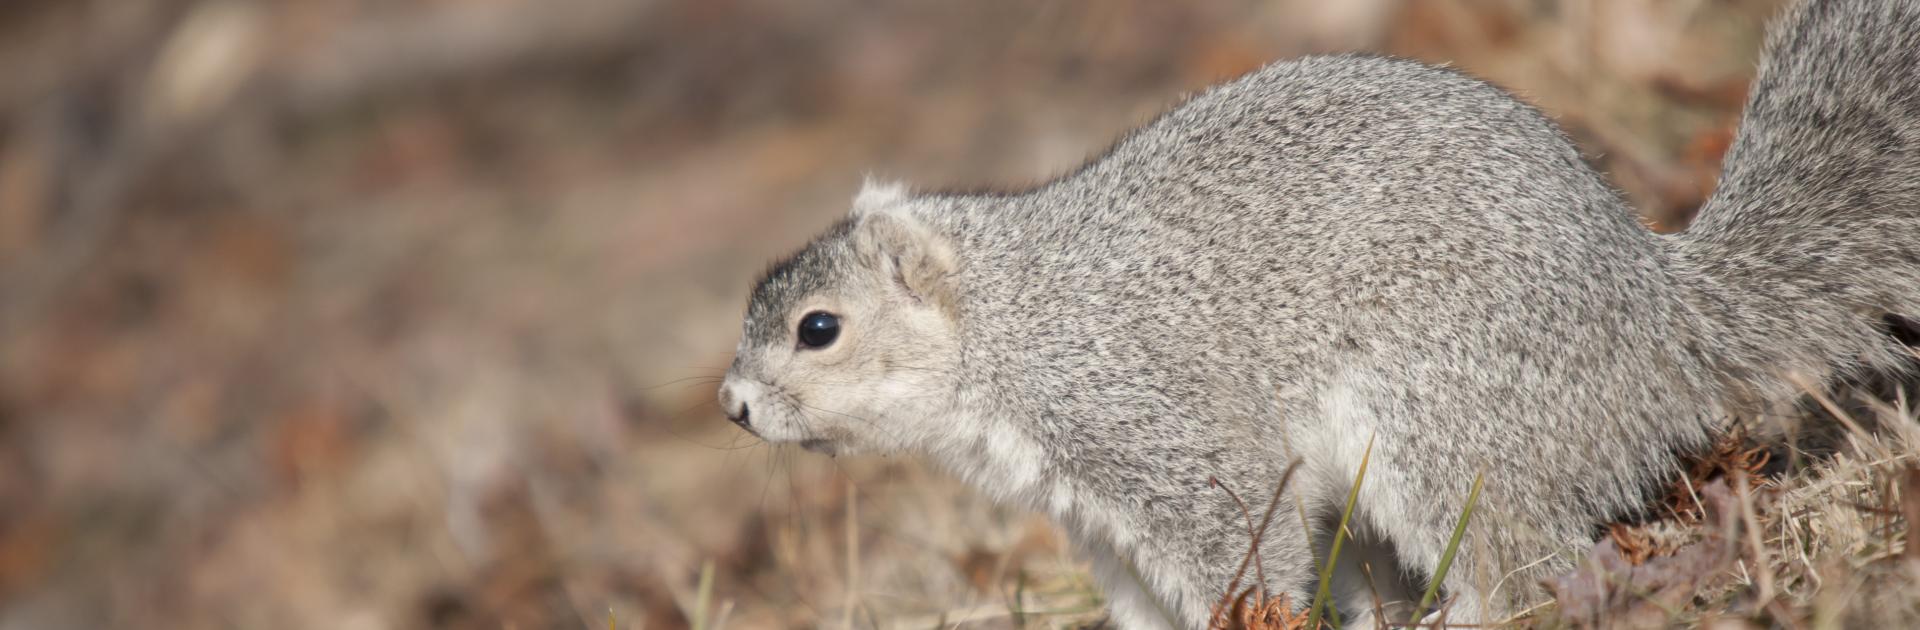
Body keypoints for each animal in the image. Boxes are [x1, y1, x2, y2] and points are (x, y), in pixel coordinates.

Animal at [714, 0, 1912, 626]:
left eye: (818, 328)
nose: (731, 406)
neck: (1015, 323)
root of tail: (1661, 325)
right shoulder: (1099, 527)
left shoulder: (1152, 426)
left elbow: (1242, 539)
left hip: (1455, 420)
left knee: (1524, 563)